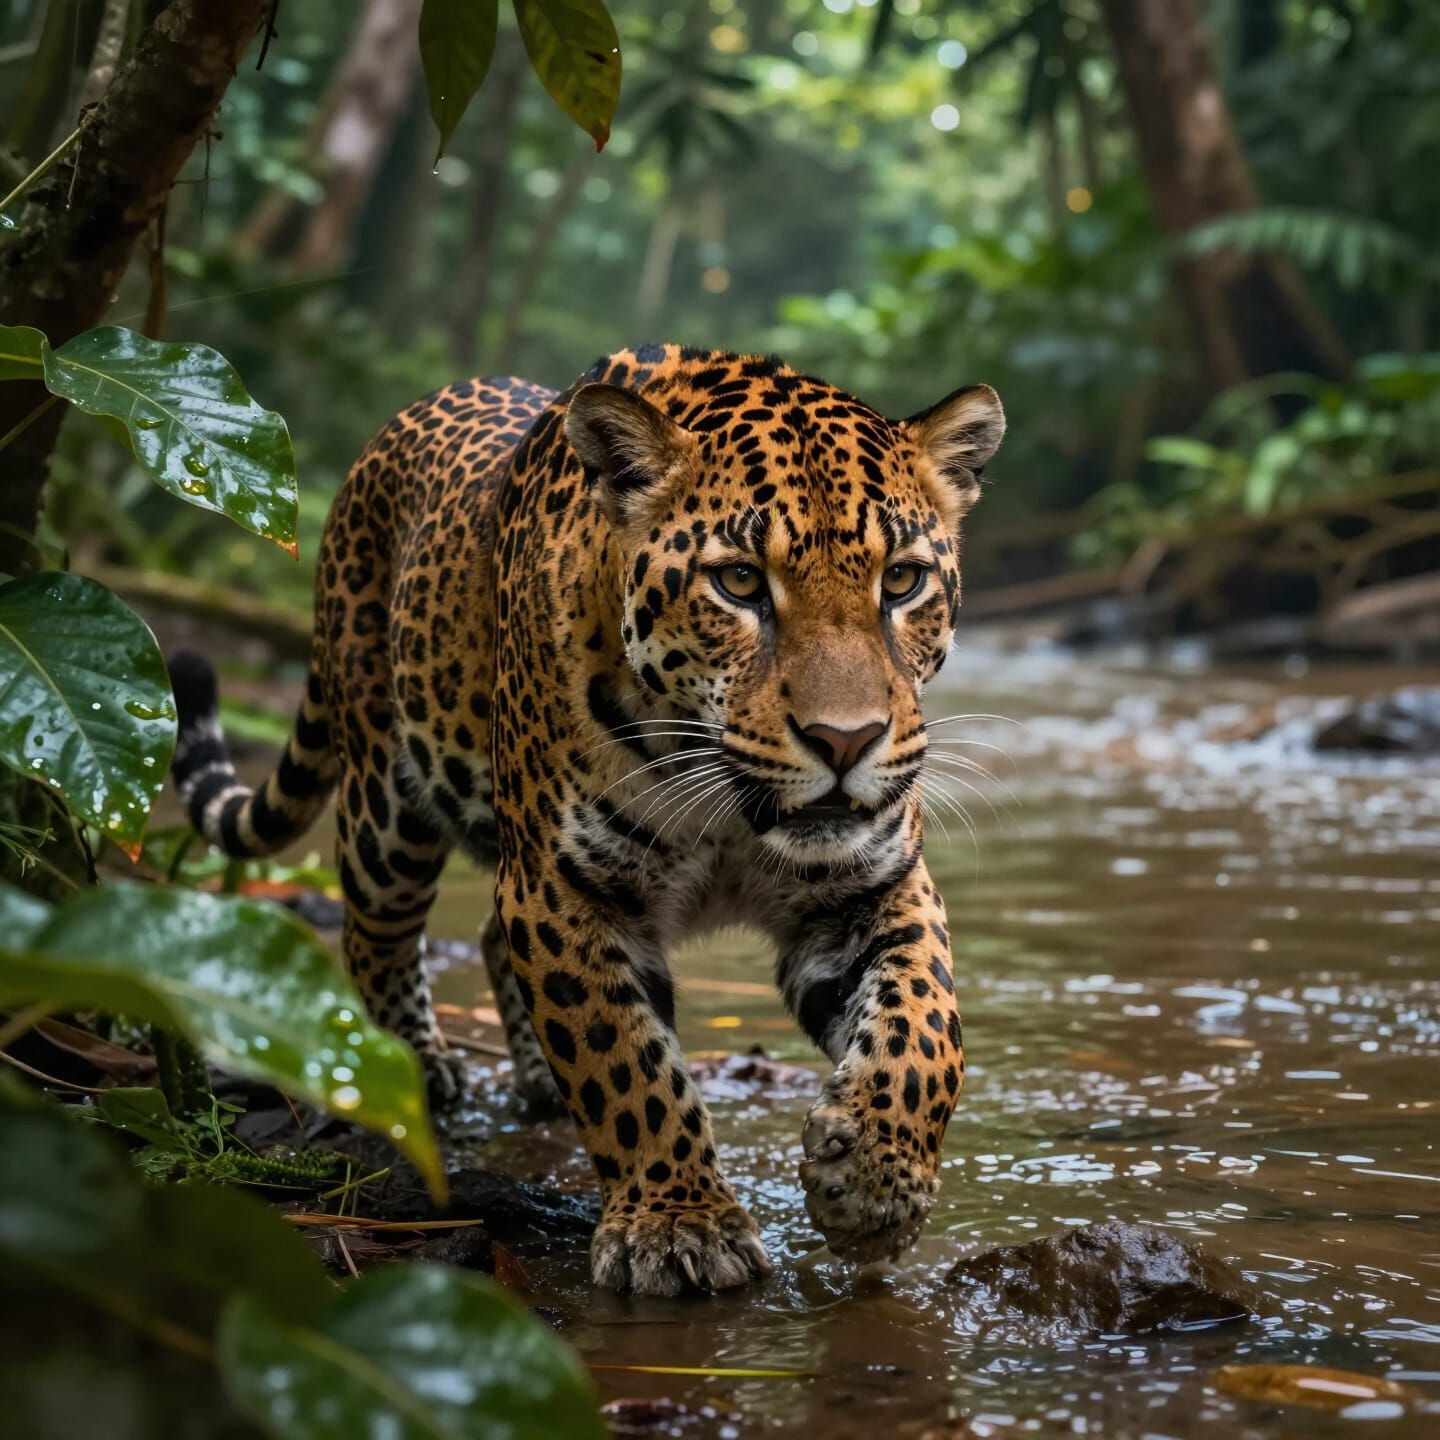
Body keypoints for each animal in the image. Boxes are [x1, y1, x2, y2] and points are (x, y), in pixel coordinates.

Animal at [168, 343, 1005, 1297]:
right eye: (739, 582)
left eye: (901, 580)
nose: (846, 739)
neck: (728, 810)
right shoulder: (561, 889)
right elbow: (625, 1061)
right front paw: (677, 1224)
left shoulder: (873, 884)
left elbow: (928, 1023)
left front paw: (873, 1178)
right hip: (387, 800)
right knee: (373, 931)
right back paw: (413, 1069)